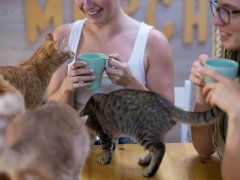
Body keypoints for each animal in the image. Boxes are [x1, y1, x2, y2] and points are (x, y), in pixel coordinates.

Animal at [81, 88, 222, 177]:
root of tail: (167, 105)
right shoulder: (112, 132)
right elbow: (111, 143)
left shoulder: (102, 130)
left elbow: (105, 146)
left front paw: (105, 158)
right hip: (153, 134)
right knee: (155, 149)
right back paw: (146, 160)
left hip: (142, 133)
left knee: (160, 148)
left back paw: (150, 171)